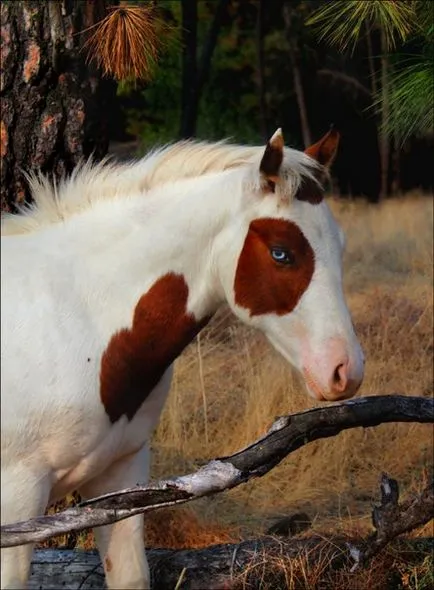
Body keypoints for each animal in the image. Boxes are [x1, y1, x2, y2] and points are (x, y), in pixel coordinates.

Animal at [1, 128, 364, 588]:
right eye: (281, 252)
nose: (345, 370)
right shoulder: (17, 496)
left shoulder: (119, 476)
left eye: (340, 244)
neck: (72, 316)